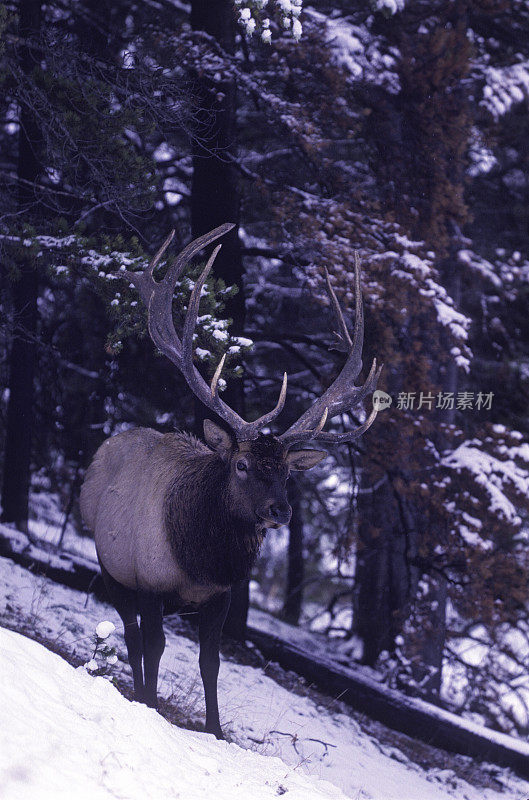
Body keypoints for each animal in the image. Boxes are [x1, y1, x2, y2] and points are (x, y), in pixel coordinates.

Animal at [79, 223, 380, 736]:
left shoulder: (220, 597)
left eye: (286, 472)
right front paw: (151, 705)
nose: (281, 510)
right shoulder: (149, 581)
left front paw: (215, 731)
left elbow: (211, 663)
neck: (200, 560)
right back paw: (137, 689)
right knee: (132, 634)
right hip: (110, 565)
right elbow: (155, 647)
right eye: (241, 465)